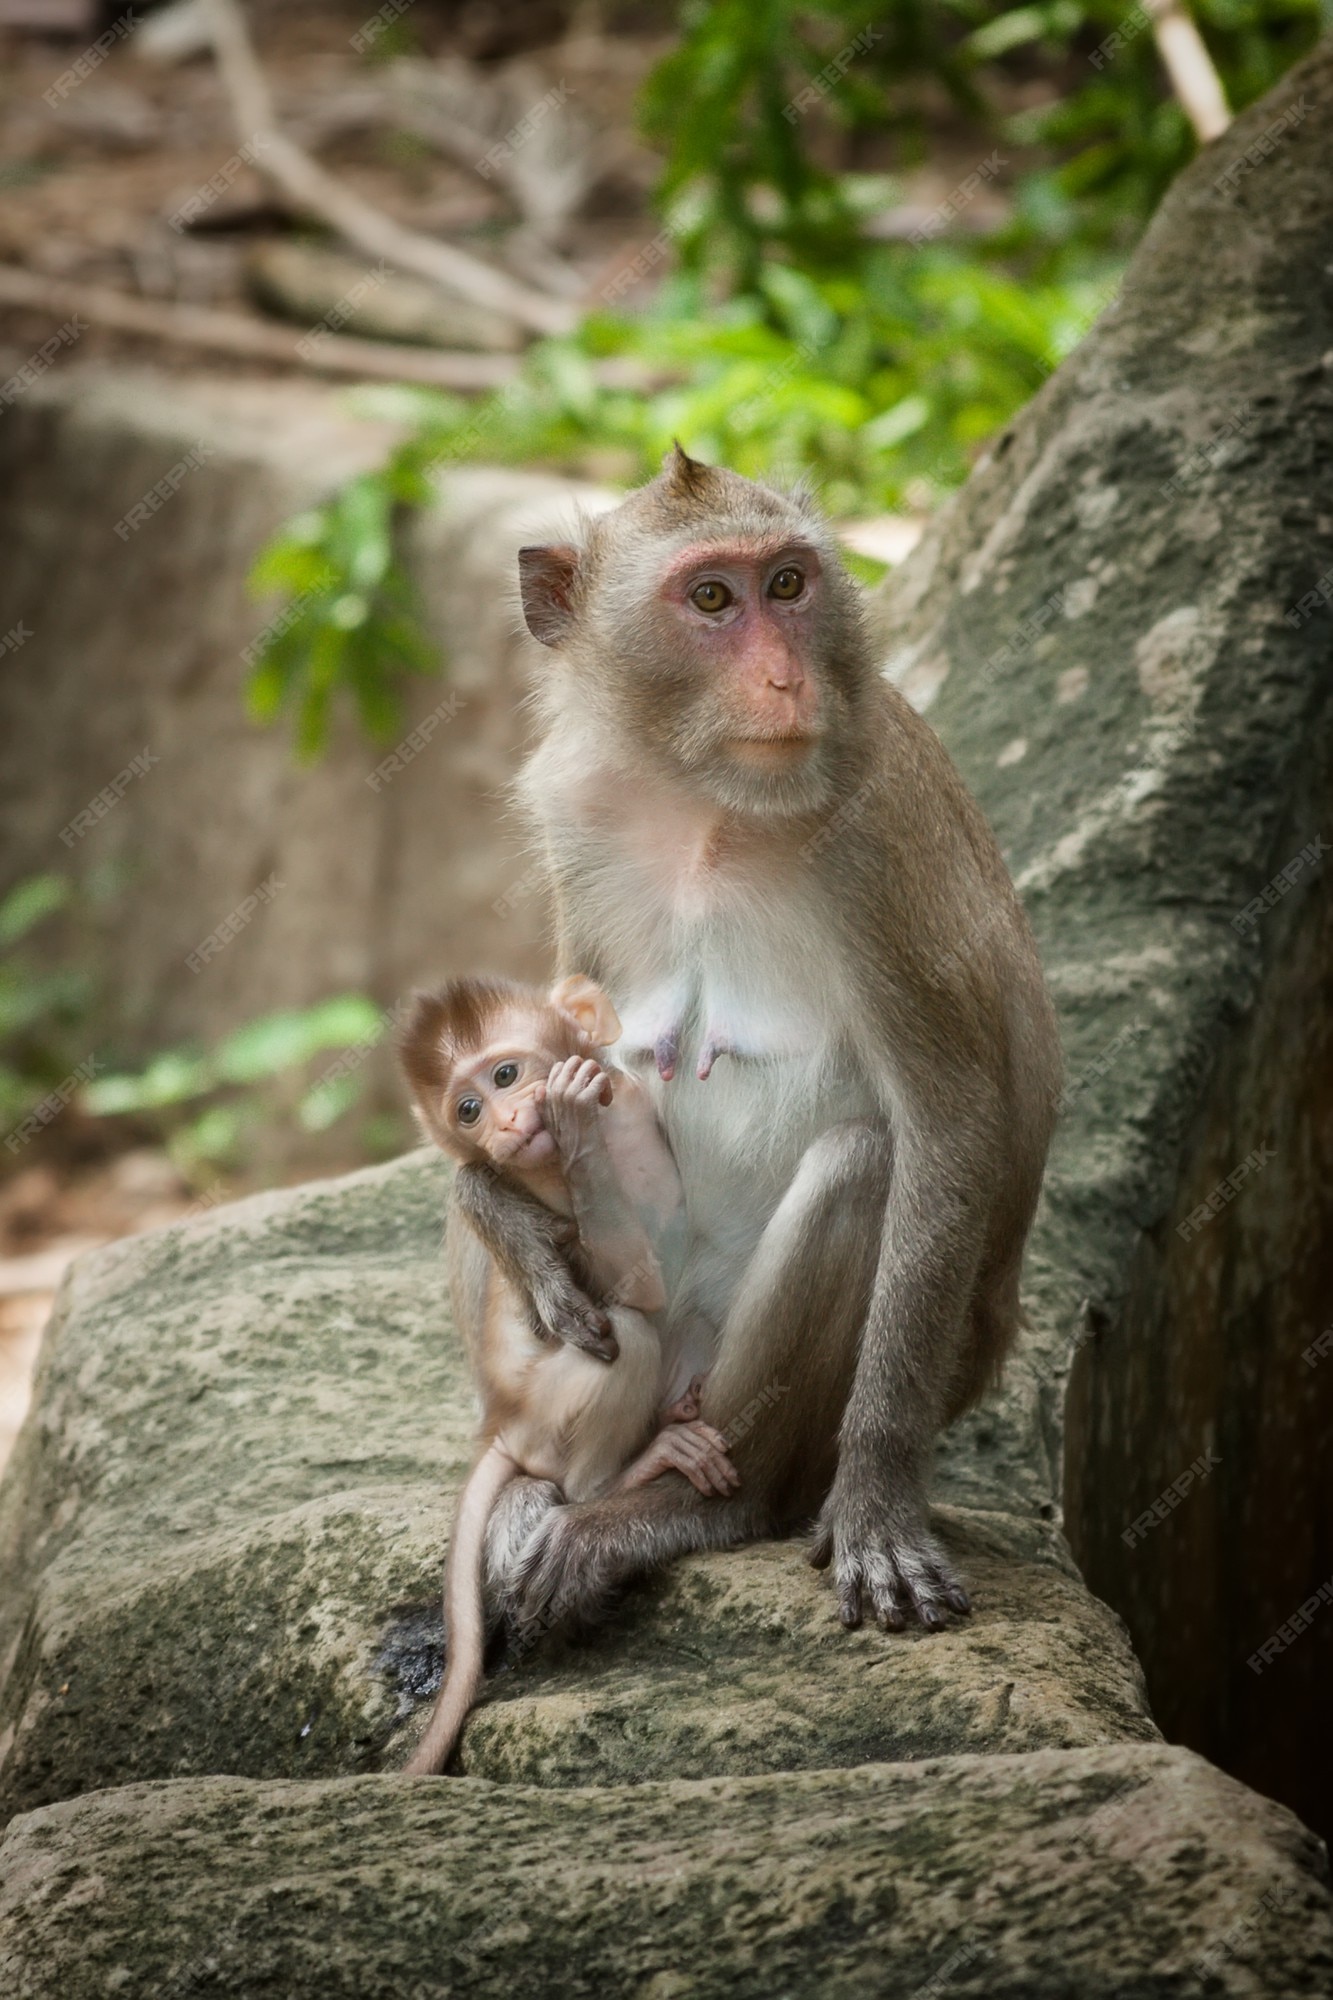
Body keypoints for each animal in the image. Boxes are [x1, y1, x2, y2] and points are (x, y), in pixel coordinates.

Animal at [394, 976, 732, 1776]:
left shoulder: (634, 1113)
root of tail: (501, 1423)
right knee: (629, 1337)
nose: (505, 1122)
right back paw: (627, 1476)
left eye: (504, 1075)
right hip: (546, 1412)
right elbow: (644, 1285)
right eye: (467, 1110)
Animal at [478, 446, 1056, 1632]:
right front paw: (516, 1232)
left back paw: (685, 1508)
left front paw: (877, 1504)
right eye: (711, 599)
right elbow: (548, 1062)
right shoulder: (573, 817)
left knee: (860, 1167)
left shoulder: (877, 844)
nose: (787, 680)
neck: (706, 800)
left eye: (788, 585)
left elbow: (951, 1124)